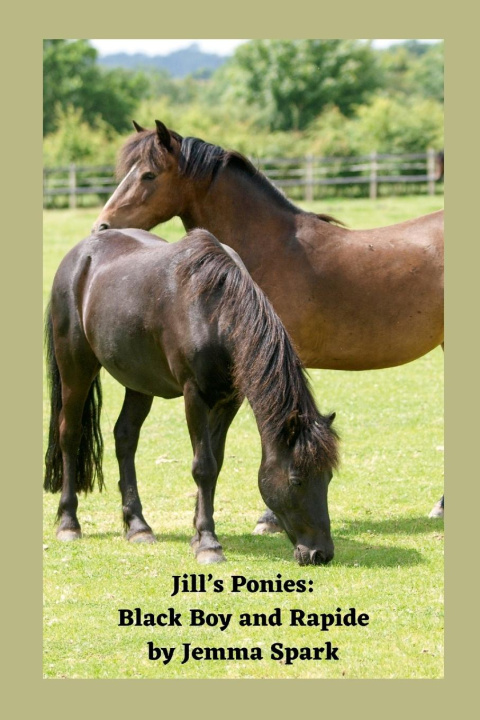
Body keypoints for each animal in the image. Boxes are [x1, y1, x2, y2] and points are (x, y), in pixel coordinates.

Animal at [44, 227, 339, 566]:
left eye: (328, 478)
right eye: (296, 480)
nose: (320, 553)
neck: (214, 314)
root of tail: (81, 254)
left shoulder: (229, 400)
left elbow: (216, 463)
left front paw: (197, 535)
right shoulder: (194, 395)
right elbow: (204, 466)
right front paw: (209, 544)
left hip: (139, 381)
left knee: (125, 438)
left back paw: (138, 526)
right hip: (75, 368)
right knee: (70, 434)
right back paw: (69, 523)